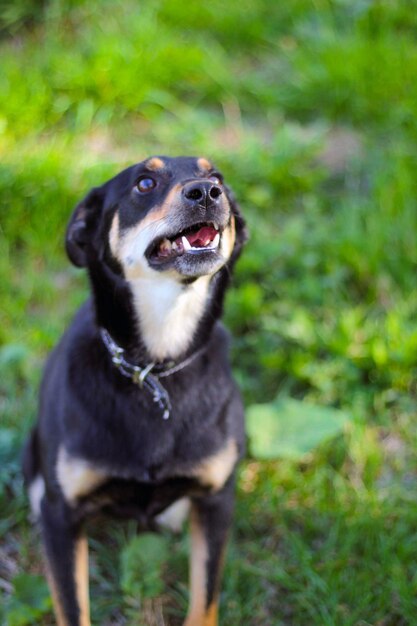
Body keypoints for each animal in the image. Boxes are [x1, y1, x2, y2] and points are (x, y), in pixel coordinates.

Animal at [22, 156, 247, 624]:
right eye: (144, 183)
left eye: (216, 177)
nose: (206, 192)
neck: (155, 367)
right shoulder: (61, 515)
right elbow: (72, 606)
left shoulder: (217, 501)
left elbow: (205, 600)